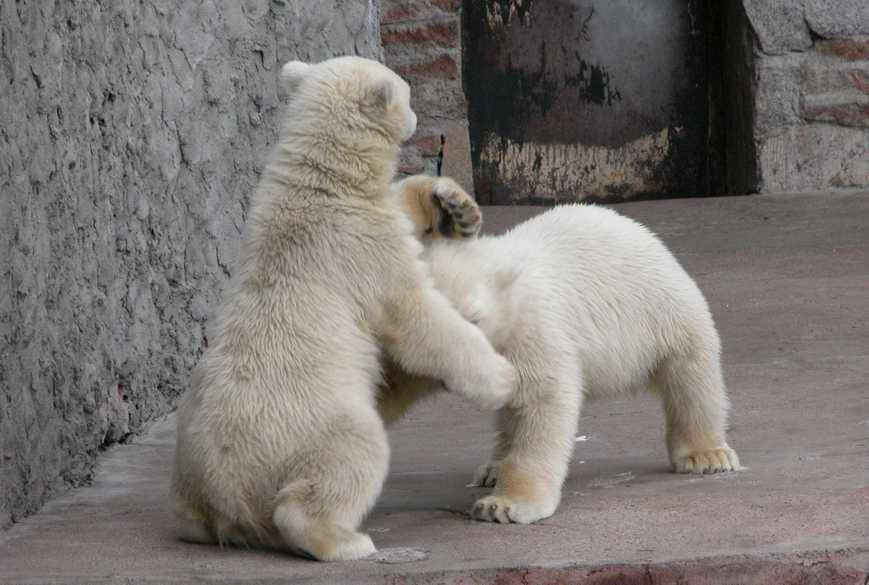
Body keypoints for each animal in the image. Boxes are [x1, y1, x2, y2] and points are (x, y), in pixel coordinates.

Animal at [171, 57, 516, 562]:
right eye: (407, 94)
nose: (417, 118)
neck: (319, 188)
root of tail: (226, 497)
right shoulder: (359, 248)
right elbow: (417, 318)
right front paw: (502, 378)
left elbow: (400, 206)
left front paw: (453, 205)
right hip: (310, 426)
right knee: (352, 453)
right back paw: (344, 540)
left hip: (192, 461)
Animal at [379, 181, 741, 524]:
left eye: (474, 318)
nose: (452, 377)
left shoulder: (531, 328)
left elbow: (542, 400)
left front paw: (505, 505)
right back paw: (493, 468)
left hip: (659, 312)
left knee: (690, 373)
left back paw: (706, 454)